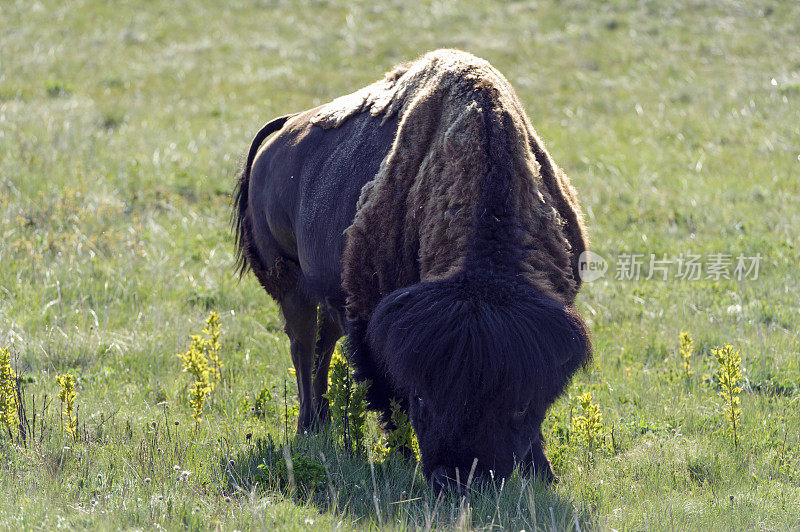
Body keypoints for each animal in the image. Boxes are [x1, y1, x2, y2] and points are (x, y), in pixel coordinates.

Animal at [234, 50, 592, 490]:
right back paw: (309, 426)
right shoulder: (375, 325)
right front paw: (402, 455)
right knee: (302, 346)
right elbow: (387, 391)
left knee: (322, 344)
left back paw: (324, 424)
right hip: (289, 281)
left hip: (327, 293)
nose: (458, 478)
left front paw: (544, 472)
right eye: (423, 397)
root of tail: (282, 130)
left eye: (519, 405)